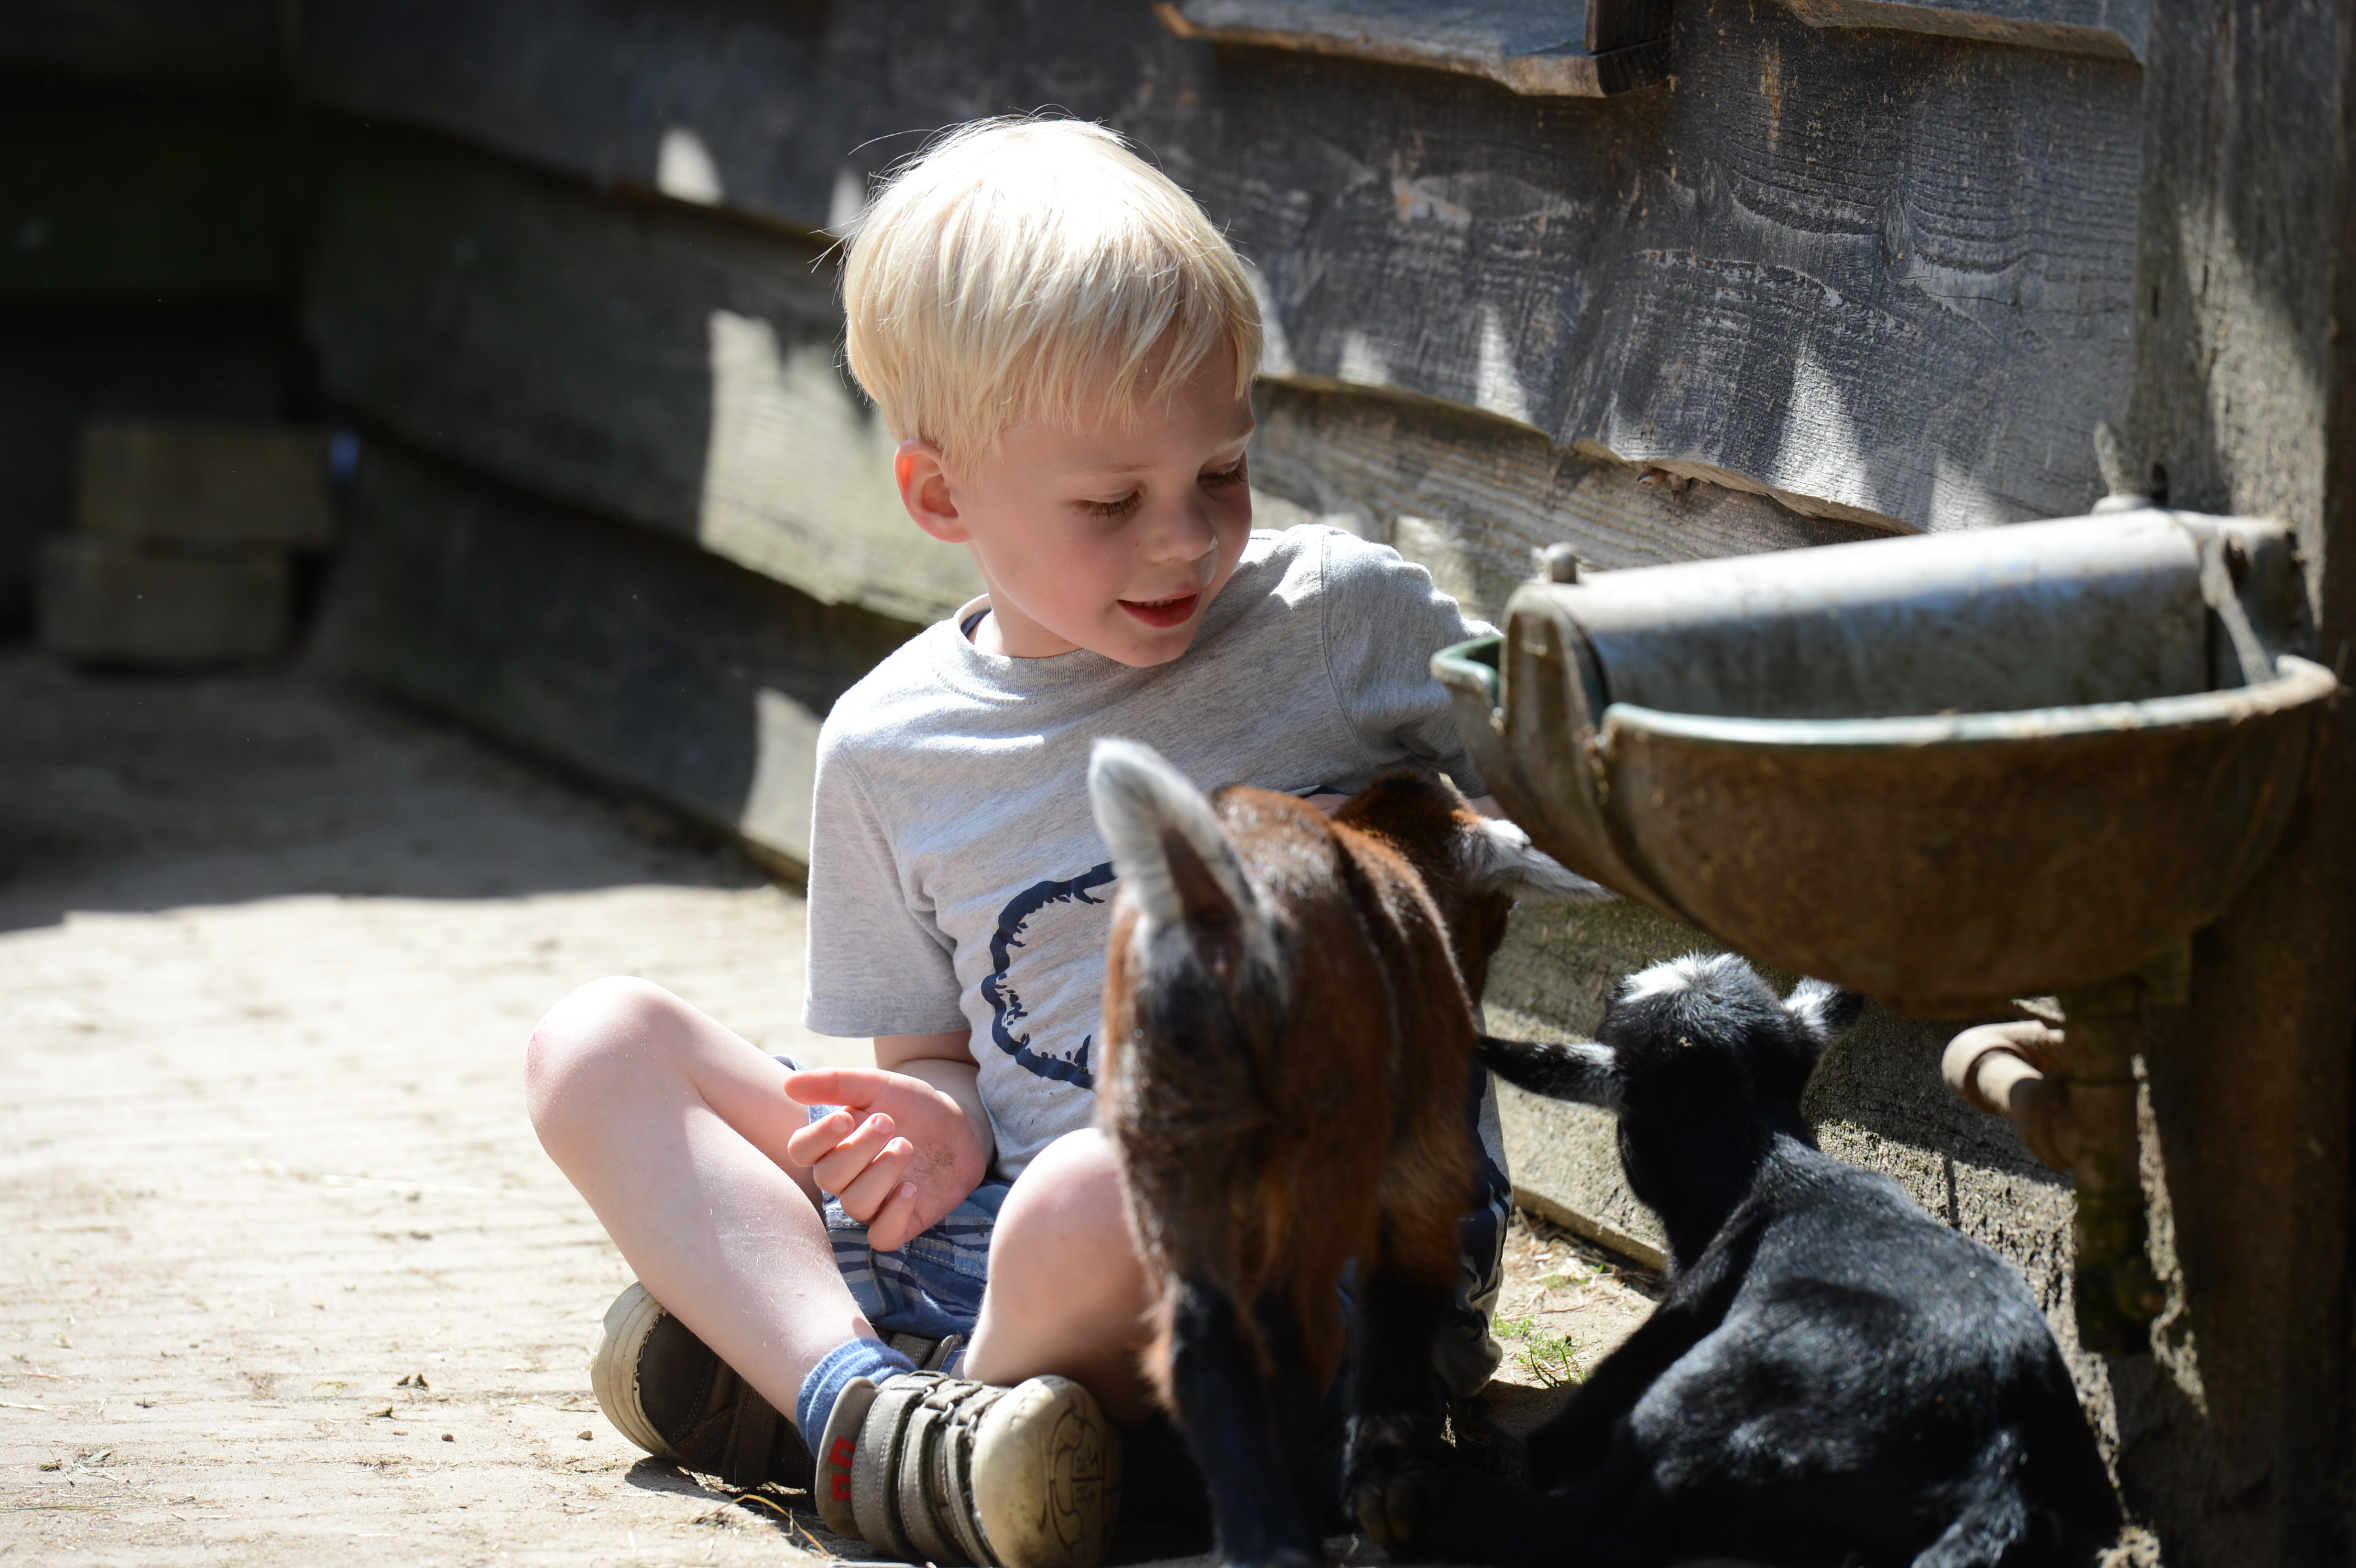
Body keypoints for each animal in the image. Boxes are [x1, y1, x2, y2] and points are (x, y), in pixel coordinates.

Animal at [1087, 739, 1603, 1568]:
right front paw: (1392, 1492)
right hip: (1325, 1138)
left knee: (1203, 1339)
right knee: (1293, 1340)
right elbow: (1405, 1279)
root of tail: (1217, 904)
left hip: (1164, 1130)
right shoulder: (1423, 1145)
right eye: (1501, 911)